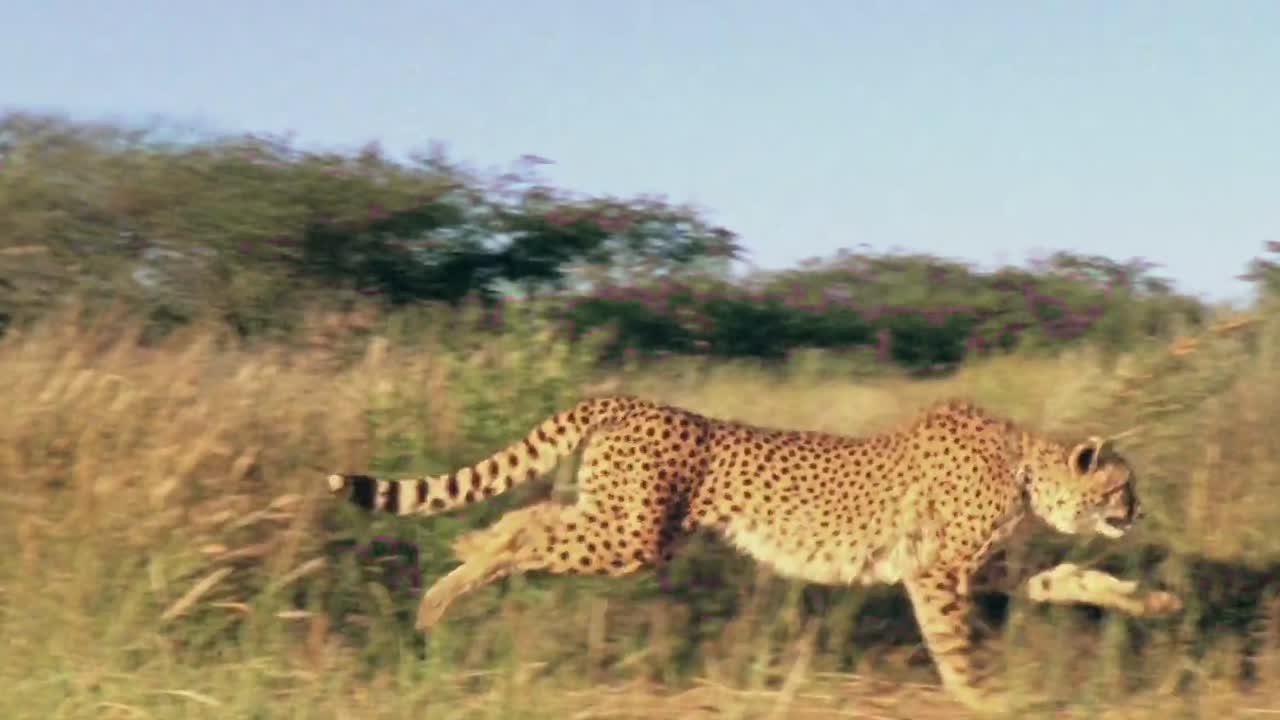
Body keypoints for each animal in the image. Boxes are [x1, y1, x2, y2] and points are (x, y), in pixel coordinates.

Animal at [326, 394, 1181, 713]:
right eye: (1123, 485)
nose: (1139, 511)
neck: (1024, 463)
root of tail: (629, 397)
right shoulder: (937, 569)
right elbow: (954, 642)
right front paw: (985, 696)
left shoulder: (988, 564)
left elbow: (1068, 576)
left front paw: (1153, 600)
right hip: (634, 536)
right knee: (531, 530)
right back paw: (448, 586)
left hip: (618, 518)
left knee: (531, 512)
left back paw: (457, 568)